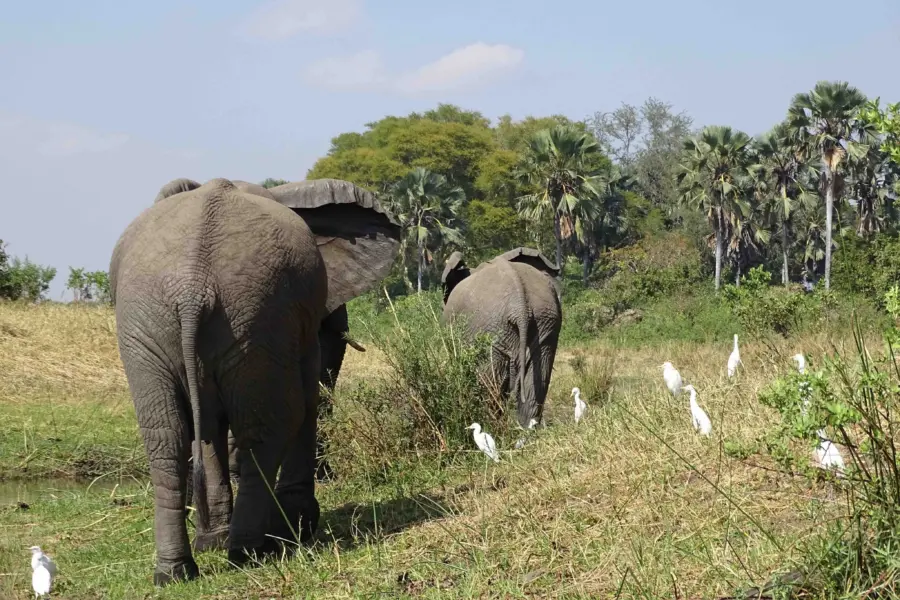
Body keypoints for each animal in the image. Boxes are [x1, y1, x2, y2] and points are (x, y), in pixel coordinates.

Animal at [109, 176, 400, 585]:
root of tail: (192, 289)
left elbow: (210, 427)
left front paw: (214, 539)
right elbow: (307, 396)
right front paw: (299, 524)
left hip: (161, 323)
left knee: (167, 437)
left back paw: (178, 570)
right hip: (249, 313)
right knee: (268, 426)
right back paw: (250, 551)